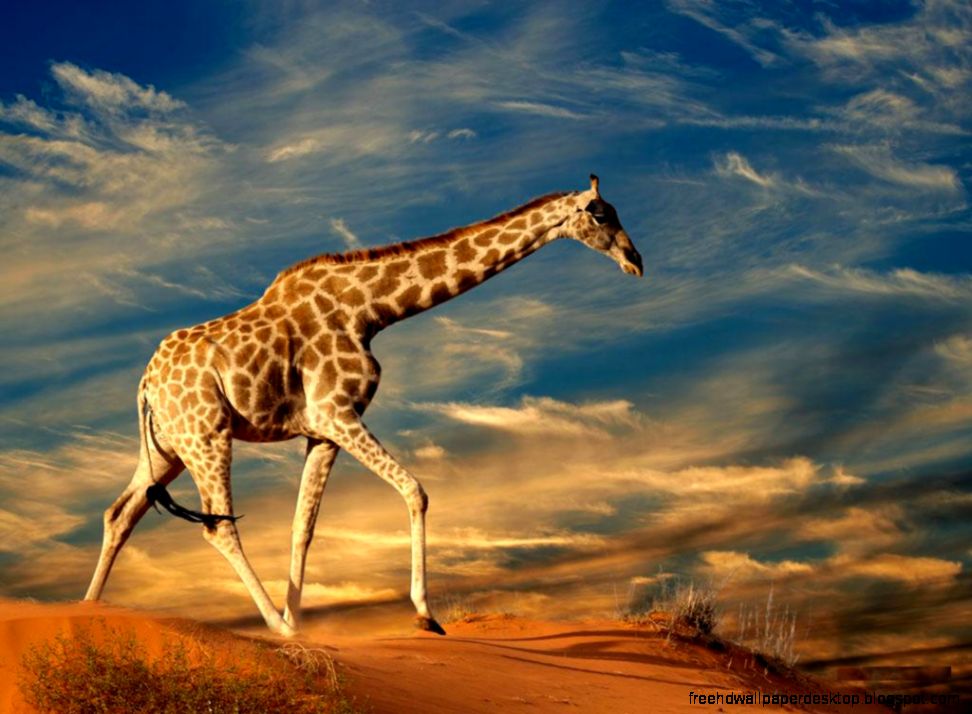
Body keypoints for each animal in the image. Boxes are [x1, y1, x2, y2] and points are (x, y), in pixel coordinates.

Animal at [84, 174, 643, 637]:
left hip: (167, 446)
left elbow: (303, 528)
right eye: (601, 214)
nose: (635, 261)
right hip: (206, 434)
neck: (372, 310)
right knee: (218, 525)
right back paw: (274, 630)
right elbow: (415, 490)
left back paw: (89, 609)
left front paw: (300, 620)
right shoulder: (337, 412)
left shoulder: (321, 432)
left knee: (120, 513)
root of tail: (145, 384)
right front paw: (423, 615)